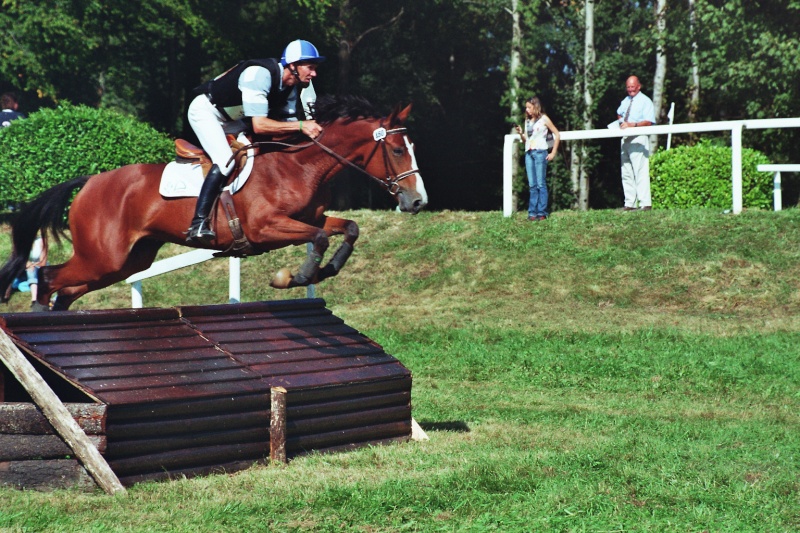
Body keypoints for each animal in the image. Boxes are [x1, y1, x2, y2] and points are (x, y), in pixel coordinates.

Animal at [0, 94, 424, 312]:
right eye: (398, 150)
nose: (418, 201)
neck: (299, 166)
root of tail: (90, 181)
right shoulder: (266, 228)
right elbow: (319, 238)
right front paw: (296, 277)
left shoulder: (311, 218)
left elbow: (348, 228)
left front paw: (325, 271)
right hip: (102, 256)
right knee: (48, 278)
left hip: (125, 262)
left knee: (66, 290)